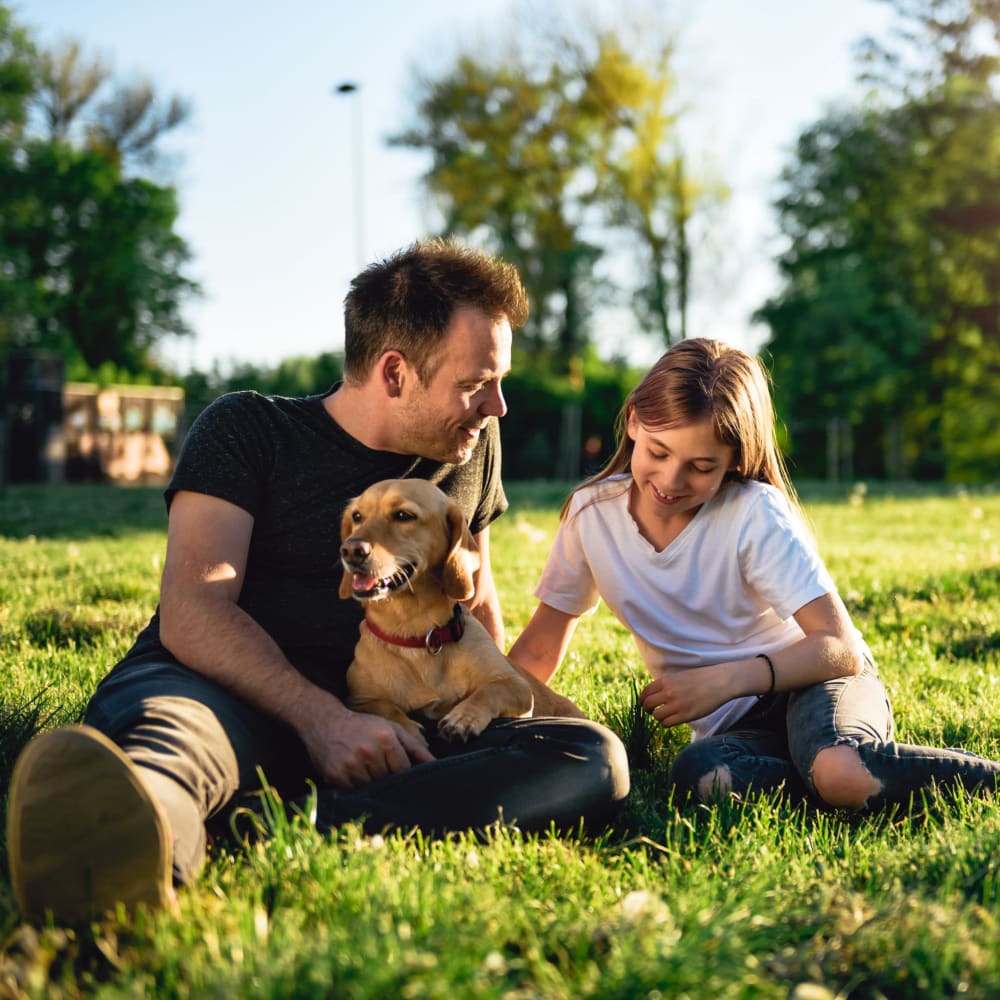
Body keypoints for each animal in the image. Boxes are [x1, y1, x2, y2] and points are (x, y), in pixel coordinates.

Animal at [340, 476, 584, 744]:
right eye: (357, 516)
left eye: (403, 515)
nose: (351, 550)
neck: (417, 635)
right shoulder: (359, 699)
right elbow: (385, 709)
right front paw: (407, 729)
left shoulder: (516, 686)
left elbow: (488, 690)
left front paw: (463, 718)